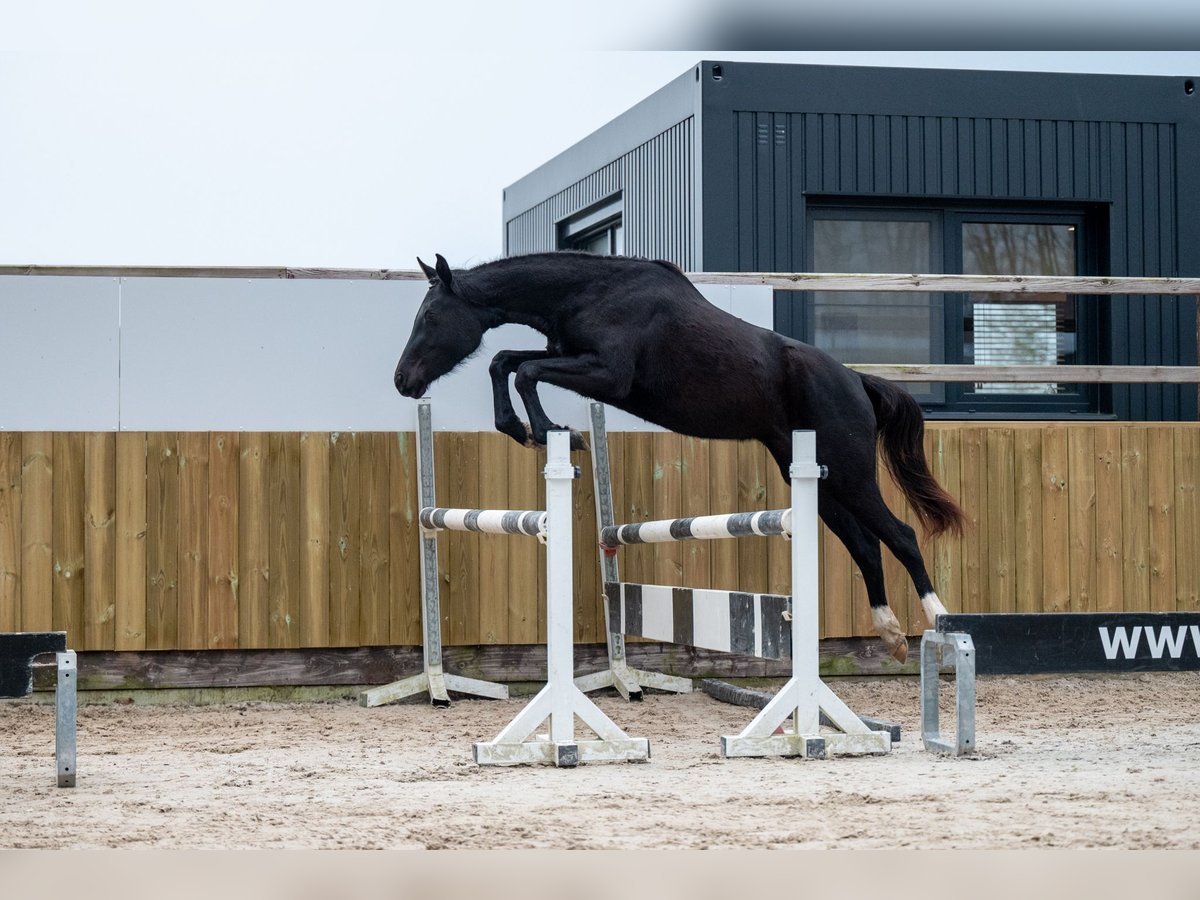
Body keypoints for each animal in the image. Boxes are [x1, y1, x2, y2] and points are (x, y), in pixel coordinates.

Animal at [393, 254, 964, 662]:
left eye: (431, 315)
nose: (403, 381)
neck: (588, 294)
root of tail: (857, 380)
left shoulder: (607, 374)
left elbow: (524, 370)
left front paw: (554, 432)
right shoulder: (571, 357)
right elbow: (506, 361)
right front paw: (525, 429)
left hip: (850, 472)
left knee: (901, 535)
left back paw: (939, 622)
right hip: (816, 477)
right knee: (866, 546)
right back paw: (891, 635)